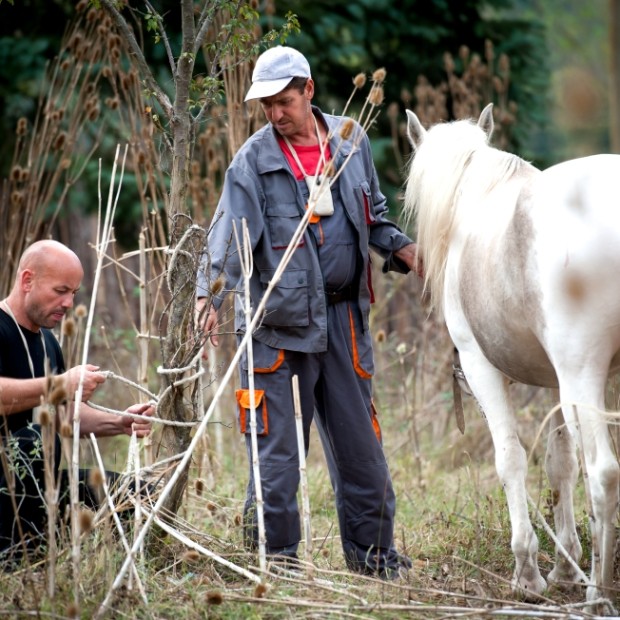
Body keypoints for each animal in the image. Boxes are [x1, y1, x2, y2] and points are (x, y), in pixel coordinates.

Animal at [404, 104, 620, 608]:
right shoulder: (554, 382)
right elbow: (560, 462)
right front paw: (564, 567)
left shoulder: (480, 366)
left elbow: (511, 460)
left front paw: (528, 573)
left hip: (583, 375)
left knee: (603, 475)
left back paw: (598, 597)